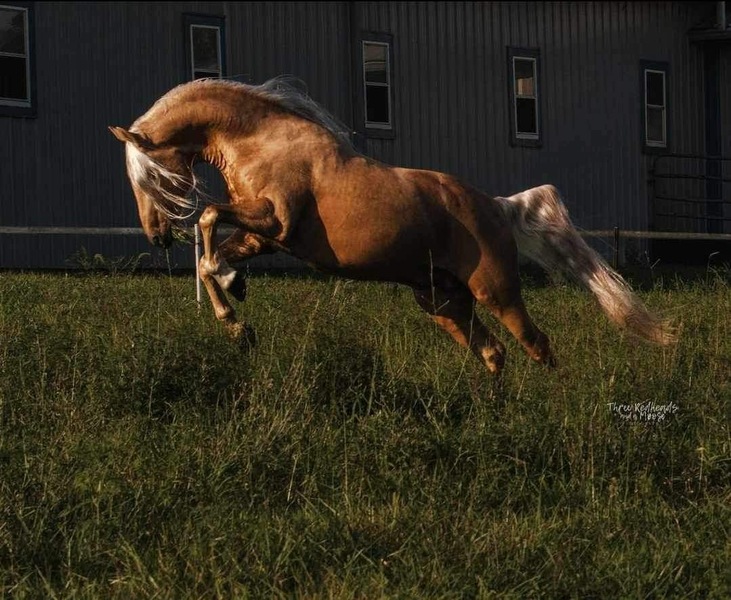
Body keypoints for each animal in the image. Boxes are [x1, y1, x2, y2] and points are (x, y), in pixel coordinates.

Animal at [109, 77, 676, 375]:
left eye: (148, 176)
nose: (156, 235)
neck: (262, 140)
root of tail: (497, 206)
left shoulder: (276, 222)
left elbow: (207, 221)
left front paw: (235, 300)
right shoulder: (259, 235)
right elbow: (210, 256)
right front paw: (237, 319)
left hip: (496, 292)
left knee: (537, 346)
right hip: (442, 302)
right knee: (493, 353)